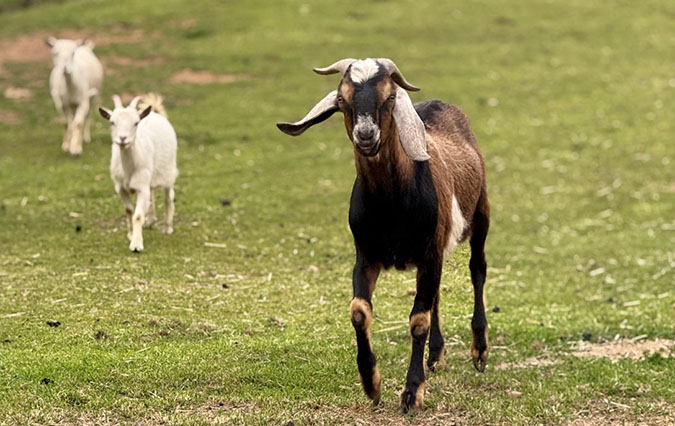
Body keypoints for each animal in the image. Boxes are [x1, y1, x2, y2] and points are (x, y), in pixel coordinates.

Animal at [97, 95, 178, 251]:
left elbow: (138, 215)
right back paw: (150, 221)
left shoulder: (141, 187)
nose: (123, 139)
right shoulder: (121, 188)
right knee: (151, 195)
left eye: (136, 123)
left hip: (169, 170)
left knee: (168, 196)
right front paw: (130, 234)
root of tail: (155, 113)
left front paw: (136, 244)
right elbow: (128, 210)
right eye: (112, 122)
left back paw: (167, 227)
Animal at [276, 58, 492, 412]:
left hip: (481, 213)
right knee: (437, 294)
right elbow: (359, 312)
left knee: (478, 270)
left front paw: (412, 393)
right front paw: (371, 383)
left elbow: (418, 321)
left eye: (389, 97)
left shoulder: (429, 253)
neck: (392, 207)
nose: (366, 135)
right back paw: (436, 356)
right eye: (342, 99)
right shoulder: (366, 256)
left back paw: (480, 350)